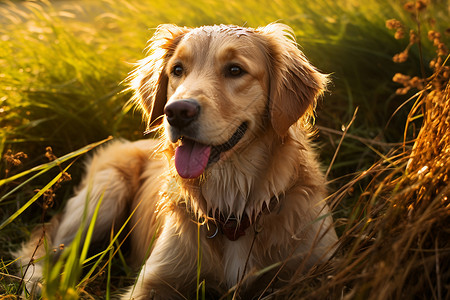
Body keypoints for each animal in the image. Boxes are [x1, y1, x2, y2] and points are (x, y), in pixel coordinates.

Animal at [14, 22, 338, 298]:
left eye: (235, 70)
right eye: (178, 70)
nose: (177, 111)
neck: (233, 213)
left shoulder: (320, 265)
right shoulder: (152, 281)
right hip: (104, 194)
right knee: (45, 249)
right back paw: (38, 283)